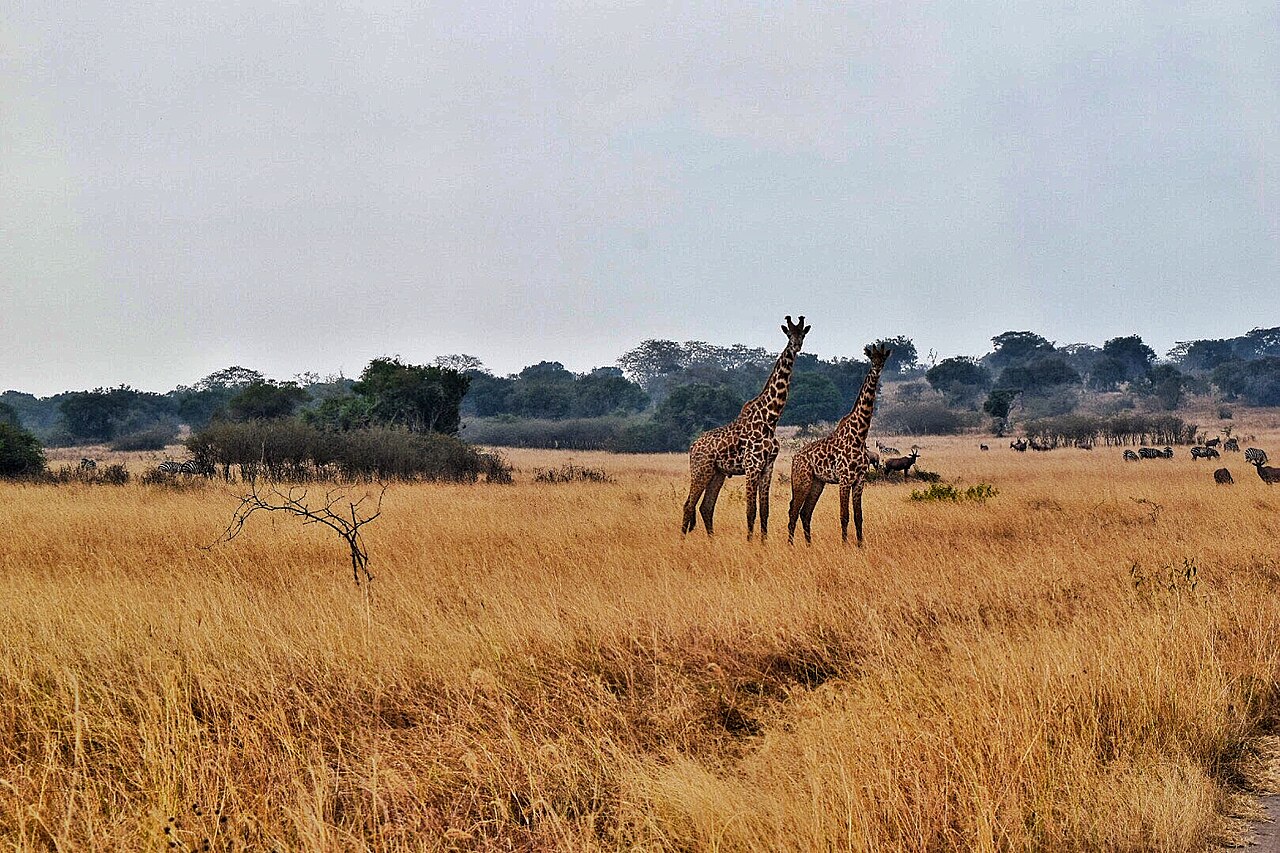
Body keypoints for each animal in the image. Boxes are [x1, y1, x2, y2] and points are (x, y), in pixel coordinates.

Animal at [681, 315, 810, 539]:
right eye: (788, 333)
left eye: (802, 333)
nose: (796, 346)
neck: (771, 419)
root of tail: (693, 446)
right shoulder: (752, 466)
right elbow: (751, 510)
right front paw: (750, 542)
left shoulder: (767, 467)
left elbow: (765, 510)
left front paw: (763, 542)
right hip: (701, 469)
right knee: (688, 505)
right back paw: (681, 541)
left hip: (717, 473)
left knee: (706, 507)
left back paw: (711, 541)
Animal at [787, 342, 891, 545]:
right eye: (871, 358)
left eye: (883, 359)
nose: (877, 369)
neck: (859, 436)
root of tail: (795, 459)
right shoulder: (844, 479)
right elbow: (844, 515)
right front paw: (845, 544)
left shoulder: (859, 480)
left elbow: (858, 516)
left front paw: (860, 545)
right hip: (802, 480)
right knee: (793, 511)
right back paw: (791, 545)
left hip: (817, 483)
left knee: (805, 513)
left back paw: (809, 545)